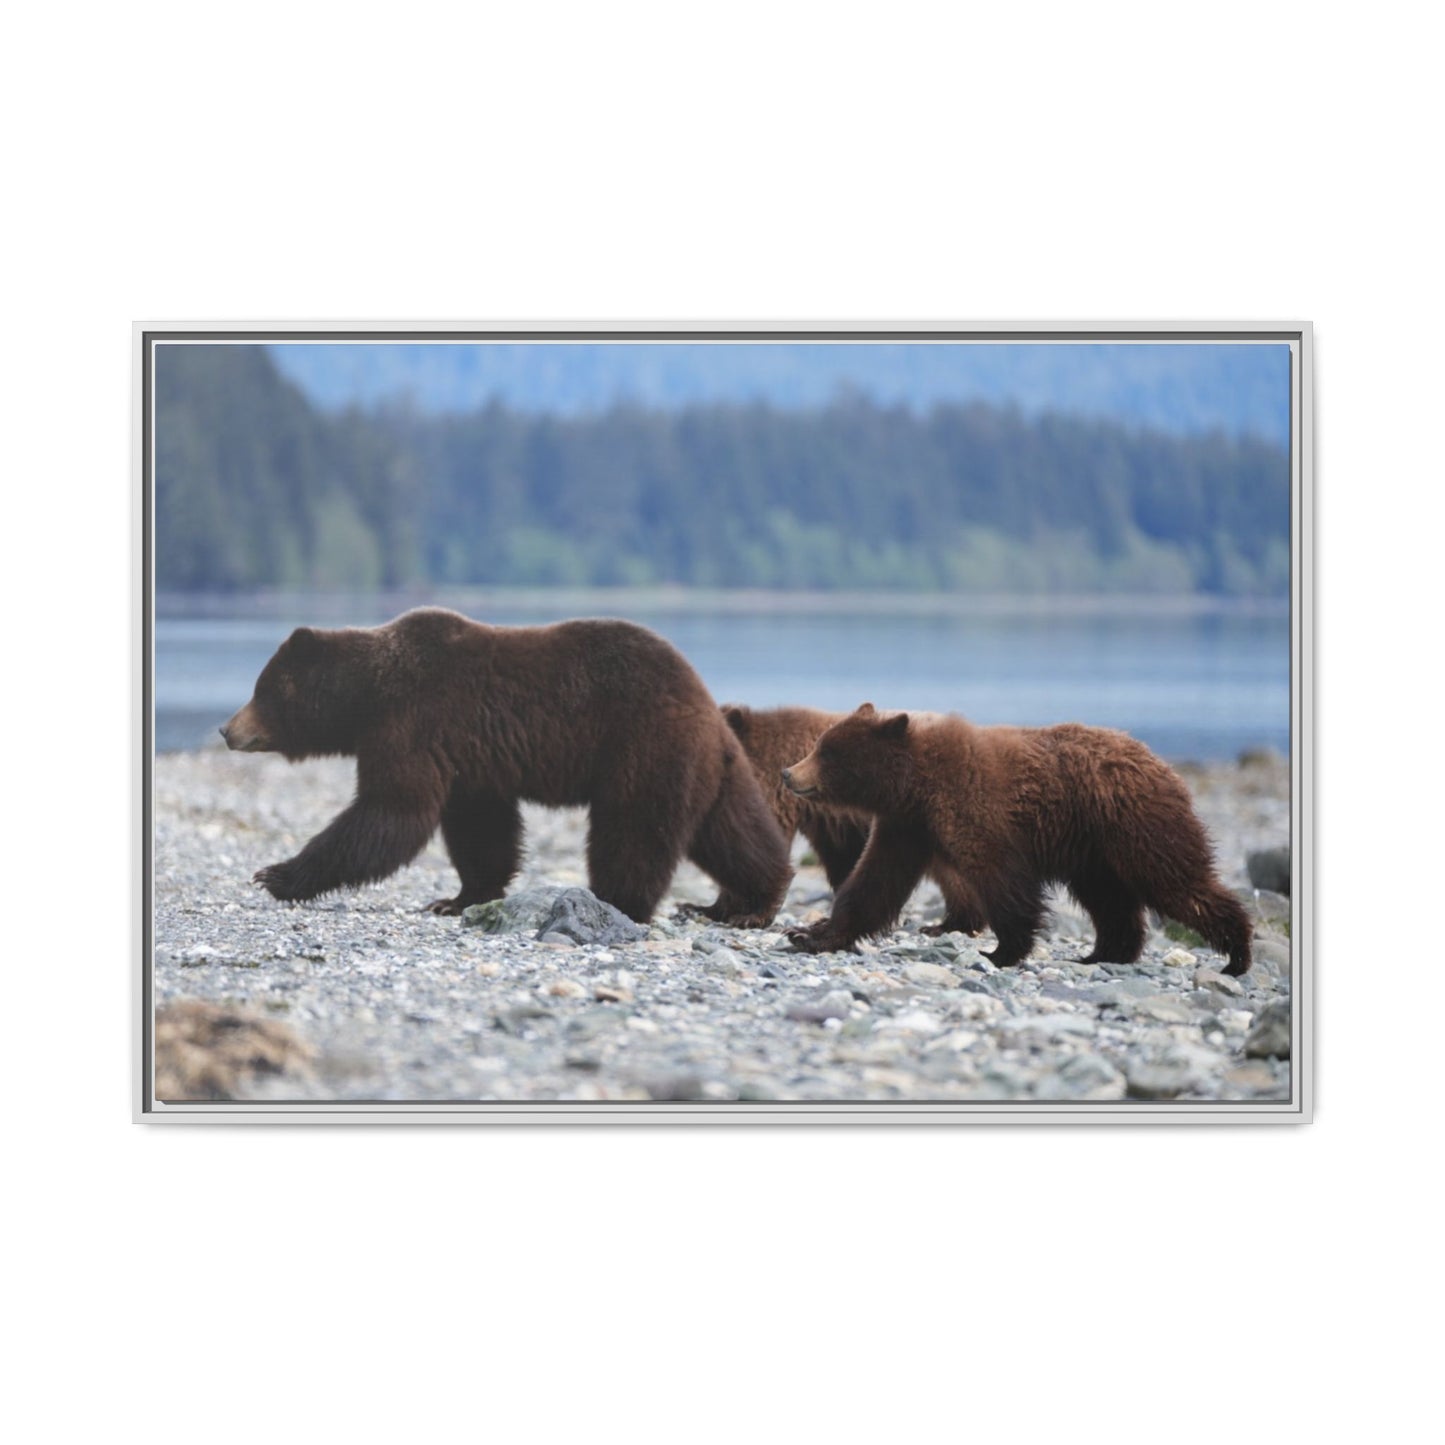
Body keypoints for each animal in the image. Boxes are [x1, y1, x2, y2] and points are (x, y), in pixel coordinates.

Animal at [220, 608, 792, 928]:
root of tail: (706, 704)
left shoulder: (414, 724)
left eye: (261, 689)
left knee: (633, 831)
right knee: (734, 832)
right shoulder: (470, 760)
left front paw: (276, 874)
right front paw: (457, 898)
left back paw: (616, 901)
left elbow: (391, 812)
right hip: (712, 768)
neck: (369, 697)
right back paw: (747, 903)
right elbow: (480, 829)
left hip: (643, 748)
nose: (227, 729)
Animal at [781, 703, 1252, 975]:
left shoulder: (974, 808)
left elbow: (1001, 880)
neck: (917, 783)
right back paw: (1103, 953)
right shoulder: (906, 825)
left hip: (1135, 824)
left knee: (1176, 882)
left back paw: (1237, 954)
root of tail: (1162, 763)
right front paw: (809, 934)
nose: (788, 773)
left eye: (827, 752)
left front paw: (999, 952)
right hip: (1094, 852)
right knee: (1110, 900)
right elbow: (873, 882)